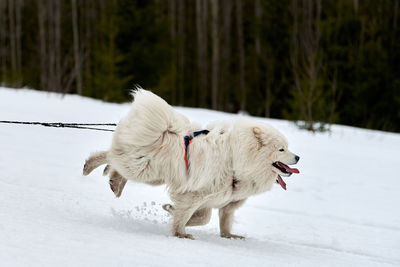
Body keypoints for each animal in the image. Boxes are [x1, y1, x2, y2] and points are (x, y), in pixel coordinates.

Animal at [82, 88, 300, 241]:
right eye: (282, 149)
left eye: (288, 148)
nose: (298, 158)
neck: (236, 161)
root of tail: (165, 131)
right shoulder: (194, 194)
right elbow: (188, 216)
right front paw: (180, 233)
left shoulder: (220, 201)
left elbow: (211, 219)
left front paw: (229, 236)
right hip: (143, 169)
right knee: (111, 156)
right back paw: (91, 167)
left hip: (151, 173)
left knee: (116, 161)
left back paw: (114, 182)